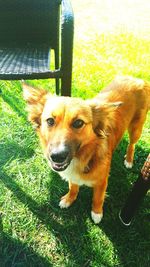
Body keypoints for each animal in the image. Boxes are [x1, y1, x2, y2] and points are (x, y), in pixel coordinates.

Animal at [22, 77, 149, 224]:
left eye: (78, 123)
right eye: (50, 121)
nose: (57, 156)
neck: (85, 156)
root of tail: (136, 79)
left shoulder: (102, 181)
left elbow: (98, 198)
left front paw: (97, 213)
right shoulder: (73, 176)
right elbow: (73, 187)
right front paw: (69, 199)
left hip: (136, 129)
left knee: (132, 144)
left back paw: (129, 160)